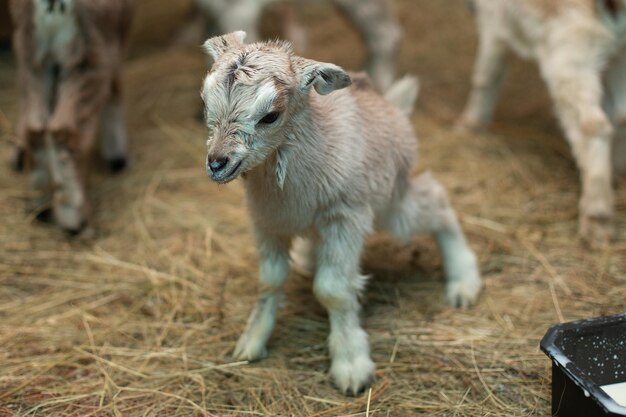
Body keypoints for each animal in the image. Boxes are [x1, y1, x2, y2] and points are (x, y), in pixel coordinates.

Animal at [9, 0, 133, 234]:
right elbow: (115, 89)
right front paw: (118, 159)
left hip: (31, 55)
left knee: (35, 127)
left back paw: (39, 203)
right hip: (85, 58)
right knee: (64, 130)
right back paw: (76, 220)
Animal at [202, 31, 480, 394]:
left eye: (270, 115)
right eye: (205, 103)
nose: (217, 163)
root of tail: (390, 104)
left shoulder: (345, 219)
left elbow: (332, 290)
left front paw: (351, 366)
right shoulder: (267, 223)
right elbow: (269, 281)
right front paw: (251, 343)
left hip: (392, 205)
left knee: (436, 200)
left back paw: (463, 282)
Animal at [456, 0, 624, 247]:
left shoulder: (493, 23)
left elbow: (486, 76)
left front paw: (468, 126)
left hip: (571, 60)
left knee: (592, 125)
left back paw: (596, 221)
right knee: (619, 115)